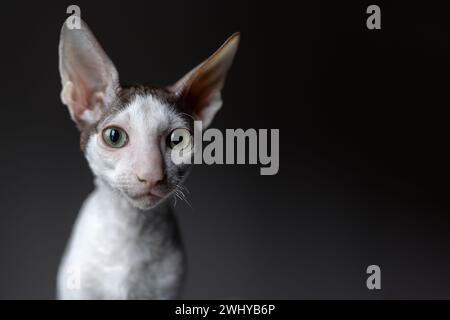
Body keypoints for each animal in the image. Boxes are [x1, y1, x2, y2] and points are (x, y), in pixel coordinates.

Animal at [56, 18, 239, 300]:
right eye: (114, 136)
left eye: (177, 140)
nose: (151, 174)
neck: (132, 228)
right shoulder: (78, 289)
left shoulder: (166, 290)